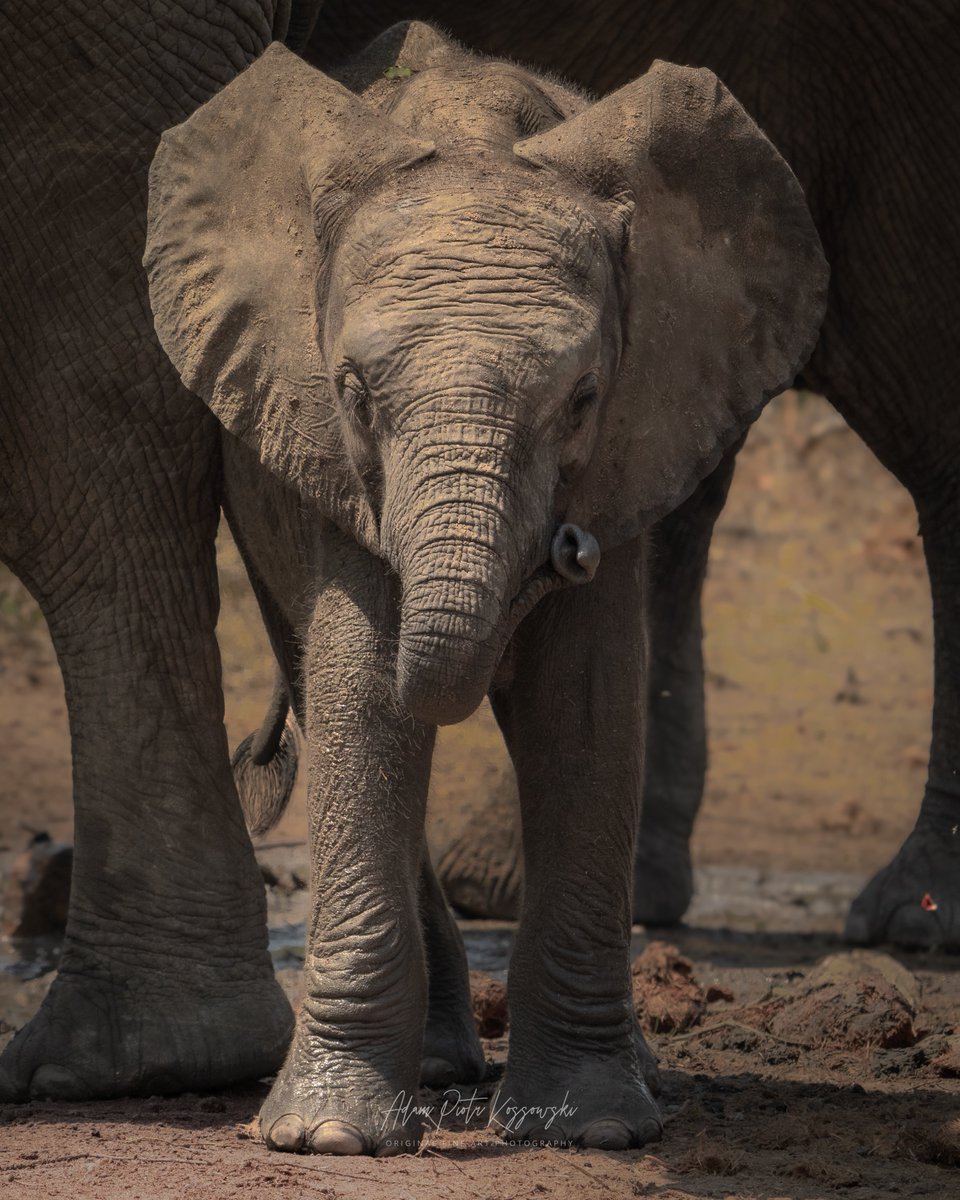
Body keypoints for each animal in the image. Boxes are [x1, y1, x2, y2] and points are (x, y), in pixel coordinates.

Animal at [142, 21, 826, 1153]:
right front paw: (327, 1139)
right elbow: (363, 692)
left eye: (584, 398)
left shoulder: (635, 437)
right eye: (353, 394)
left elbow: (586, 708)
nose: (566, 550)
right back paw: (434, 1067)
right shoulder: (325, 461)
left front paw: (595, 1127)